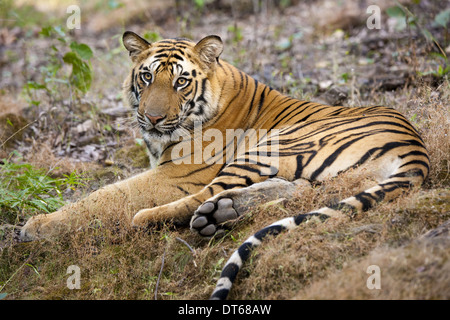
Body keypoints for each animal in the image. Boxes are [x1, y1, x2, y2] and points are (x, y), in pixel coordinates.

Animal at [20, 31, 428, 298]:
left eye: (181, 82)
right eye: (147, 76)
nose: (152, 118)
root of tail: (416, 148)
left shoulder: (175, 175)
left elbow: (105, 195)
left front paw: (37, 225)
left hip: (270, 145)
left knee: (199, 200)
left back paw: (166, 217)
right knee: (294, 190)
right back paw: (223, 212)